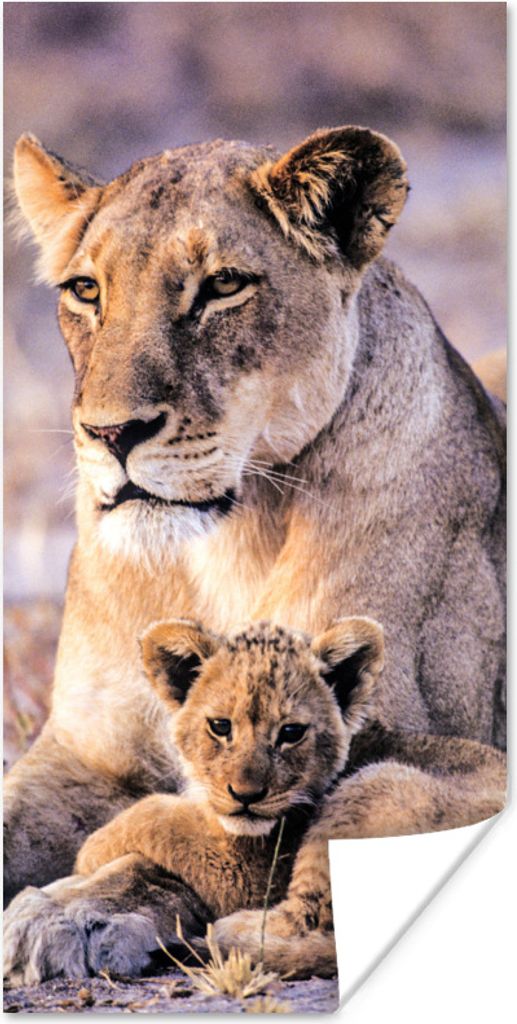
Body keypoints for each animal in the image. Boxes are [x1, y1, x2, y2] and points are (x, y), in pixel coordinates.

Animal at [5, 125, 505, 973]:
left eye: (223, 286)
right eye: (86, 290)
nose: (110, 433)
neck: (223, 544)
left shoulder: (344, 750)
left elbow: (179, 843)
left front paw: (69, 910)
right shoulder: (80, 752)